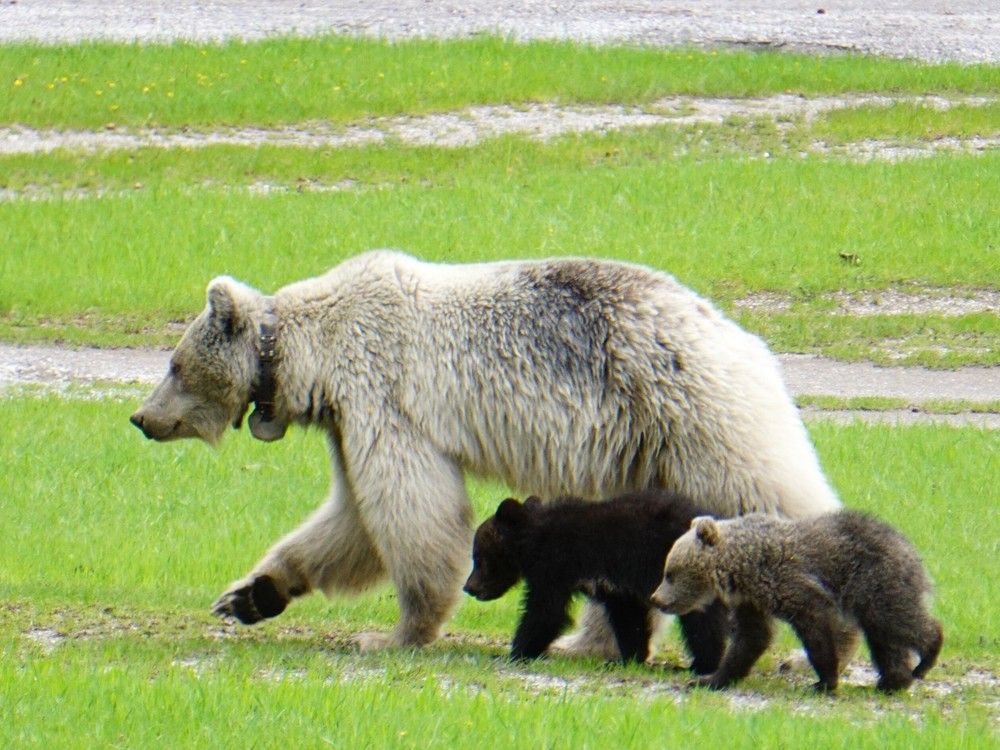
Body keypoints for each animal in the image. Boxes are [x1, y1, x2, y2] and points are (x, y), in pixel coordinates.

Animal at [129, 251, 840, 652]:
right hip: (645, 451)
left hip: (693, 415)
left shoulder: (382, 396)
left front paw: (393, 633)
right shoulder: (346, 422)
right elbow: (350, 521)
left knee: (769, 495)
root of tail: (740, 334)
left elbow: (411, 509)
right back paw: (592, 643)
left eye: (173, 364)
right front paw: (249, 595)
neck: (312, 356)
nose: (140, 418)